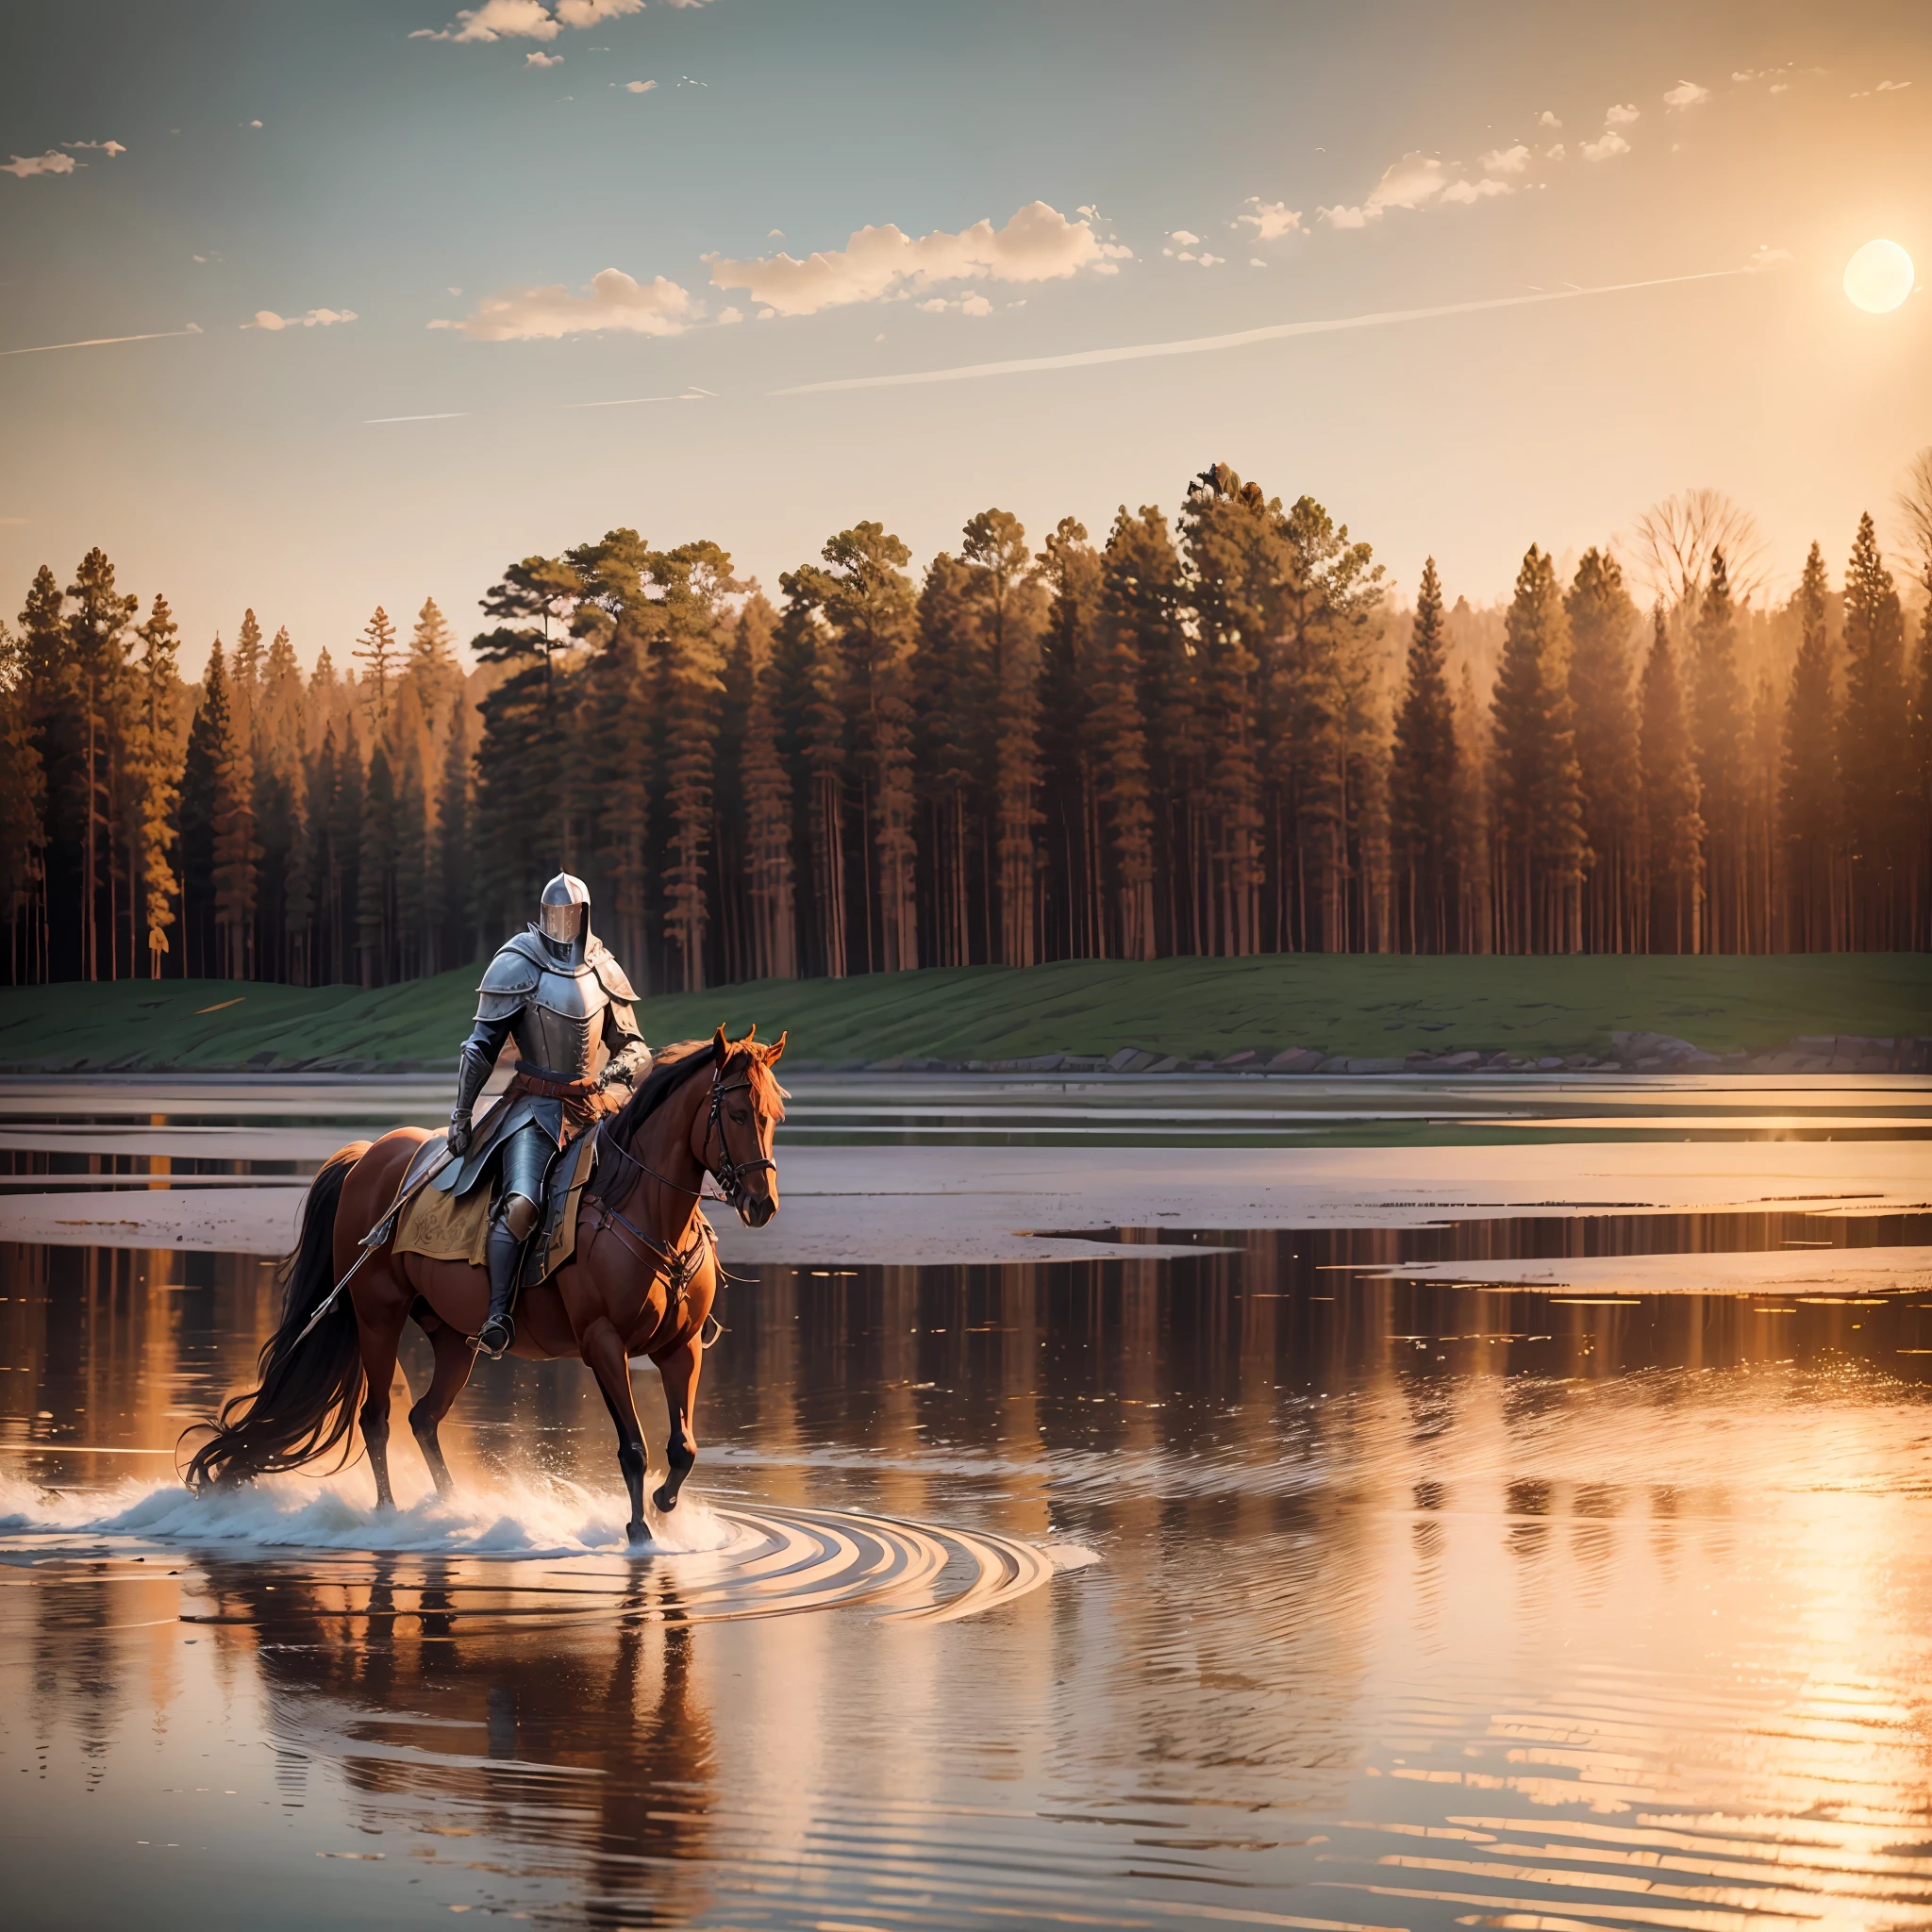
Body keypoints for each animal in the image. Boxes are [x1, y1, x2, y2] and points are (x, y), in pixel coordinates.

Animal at [181, 1027, 784, 1538]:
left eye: (774, 1113)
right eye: (735, 1113)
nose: (763, 1205)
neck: (640, 1205)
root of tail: (367, 1156)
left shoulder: (681, 1347)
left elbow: (683, 1448)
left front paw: (663, 1507)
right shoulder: (603, 1342)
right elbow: (633, 1446)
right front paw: (637, 1530)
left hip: (453, 1336)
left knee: (424, 1417)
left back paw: (453, 1508)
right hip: (378, 1315)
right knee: (377, 1418)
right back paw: (388, 1515)